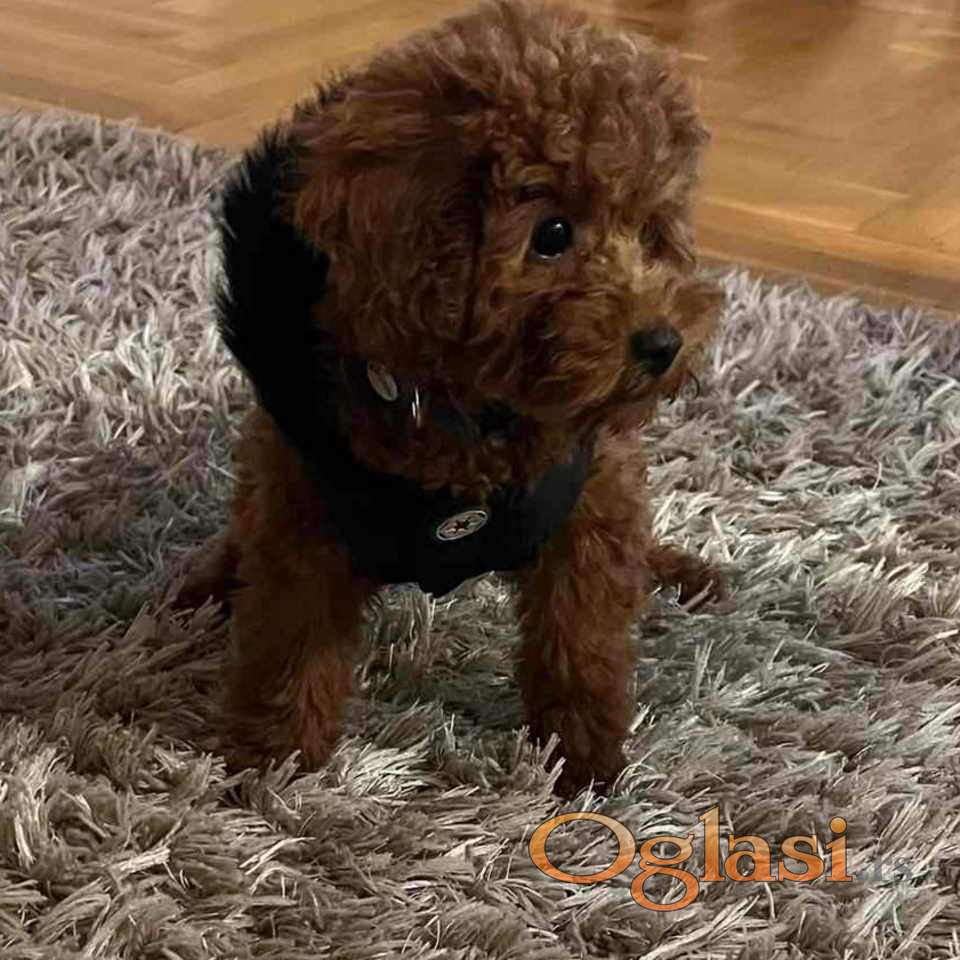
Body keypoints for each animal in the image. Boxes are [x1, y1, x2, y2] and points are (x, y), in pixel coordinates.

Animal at [178, 0, 724, 796]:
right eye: (552, 233)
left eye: (651, 233)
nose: (662, 343)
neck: (470, 414)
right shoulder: (306, 509)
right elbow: (291, 636)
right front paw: (272, 759)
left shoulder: (592, 505)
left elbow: (582, 639)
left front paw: (584, 760)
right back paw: (212, 585)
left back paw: (681, 572)